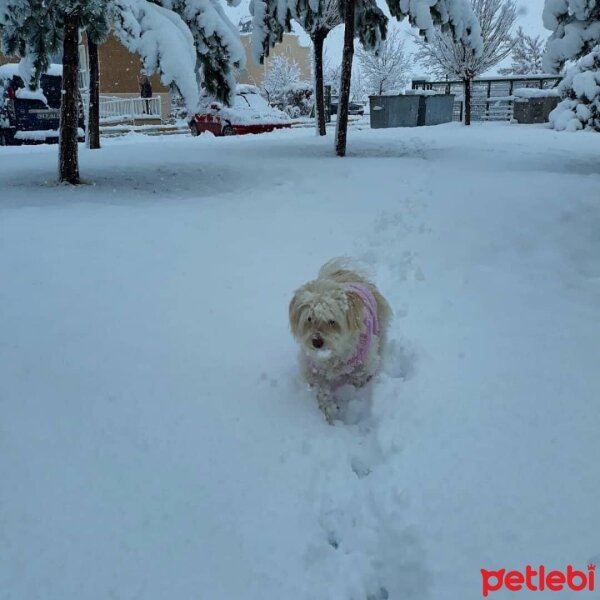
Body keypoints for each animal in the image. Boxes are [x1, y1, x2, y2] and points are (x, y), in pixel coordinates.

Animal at [288, 258, 392, 422]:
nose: (316, 342)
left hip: (381, 326)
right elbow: (320, 389)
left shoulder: (367, 363)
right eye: (309, 319)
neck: (334, 356)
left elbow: (357, 378)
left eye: (332, 321)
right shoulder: (311, 368)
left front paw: (347, 397)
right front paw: (328, 408)